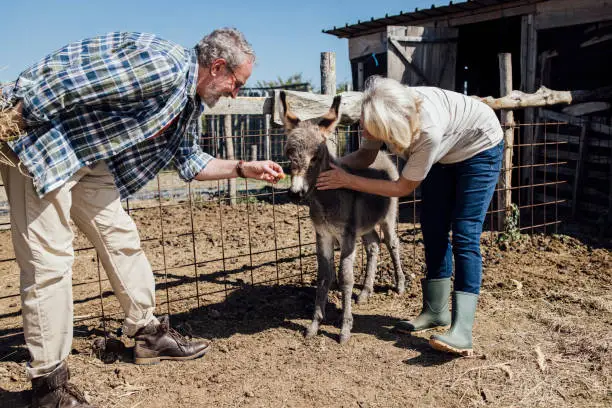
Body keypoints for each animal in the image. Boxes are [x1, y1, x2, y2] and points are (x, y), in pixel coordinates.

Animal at [280, 92, 406, 344]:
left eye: (315, 157)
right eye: (289, 155)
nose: (295, 193)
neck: (326, 199)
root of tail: (382, 155)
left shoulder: (347, 237)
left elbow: (345, 277)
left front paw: (345, 329)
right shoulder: (323, 235)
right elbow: (324, 277)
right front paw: (314, 325)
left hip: (388, 217)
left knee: (392, 243)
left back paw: (399, 285)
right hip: (365, 225)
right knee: (374, 245)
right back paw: (365, 292)